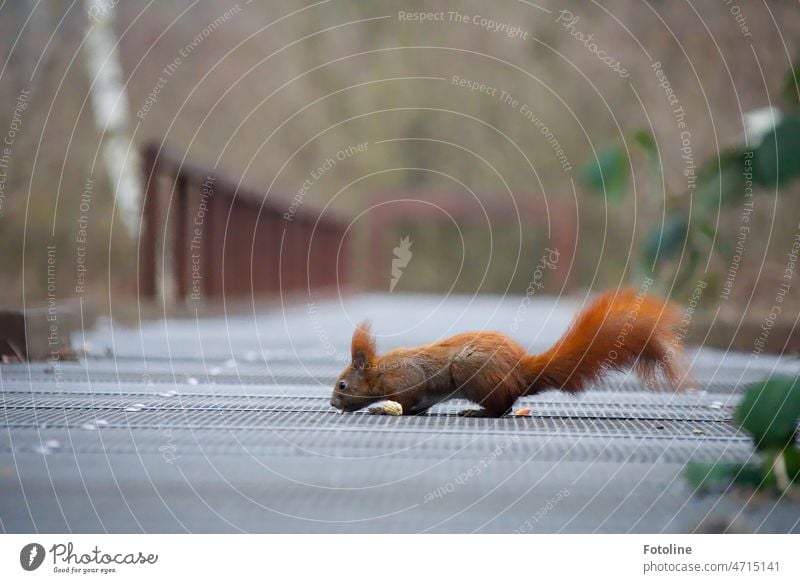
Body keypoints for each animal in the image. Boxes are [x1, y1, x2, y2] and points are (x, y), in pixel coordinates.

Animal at [328, 290, 692, 418]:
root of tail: (521, 371)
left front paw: (381, 409)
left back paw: (477, 413)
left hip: (475, 376)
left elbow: (405, 401)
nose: (332, 403)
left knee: (502, 406)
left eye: (343, 385)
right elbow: (418, 405)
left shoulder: (406, 378)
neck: (379, 371)